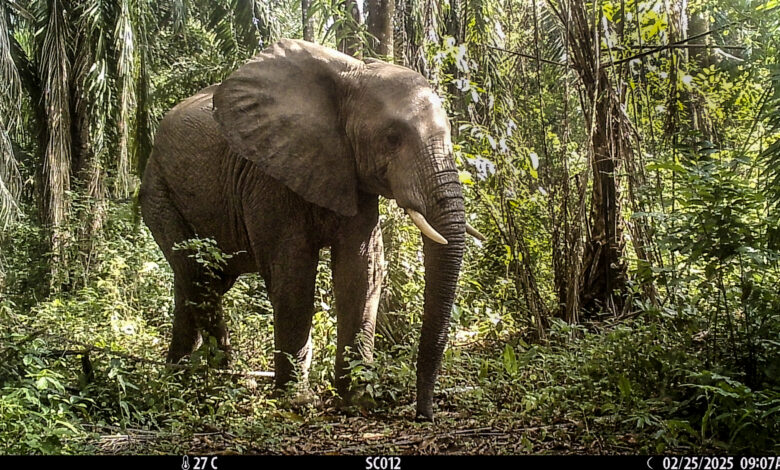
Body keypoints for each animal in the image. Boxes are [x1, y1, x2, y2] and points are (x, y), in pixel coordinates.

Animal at [139, 39, 483, 420]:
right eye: (392, 138)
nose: (424, 413)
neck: (352, 75)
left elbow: (360, 271)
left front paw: (357, 400)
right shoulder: (269, 176)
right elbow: (293, 275)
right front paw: (298, 403)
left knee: (195, 281)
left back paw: (179, 379)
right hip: (158, 190)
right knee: (200, 276)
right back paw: (220, 382)